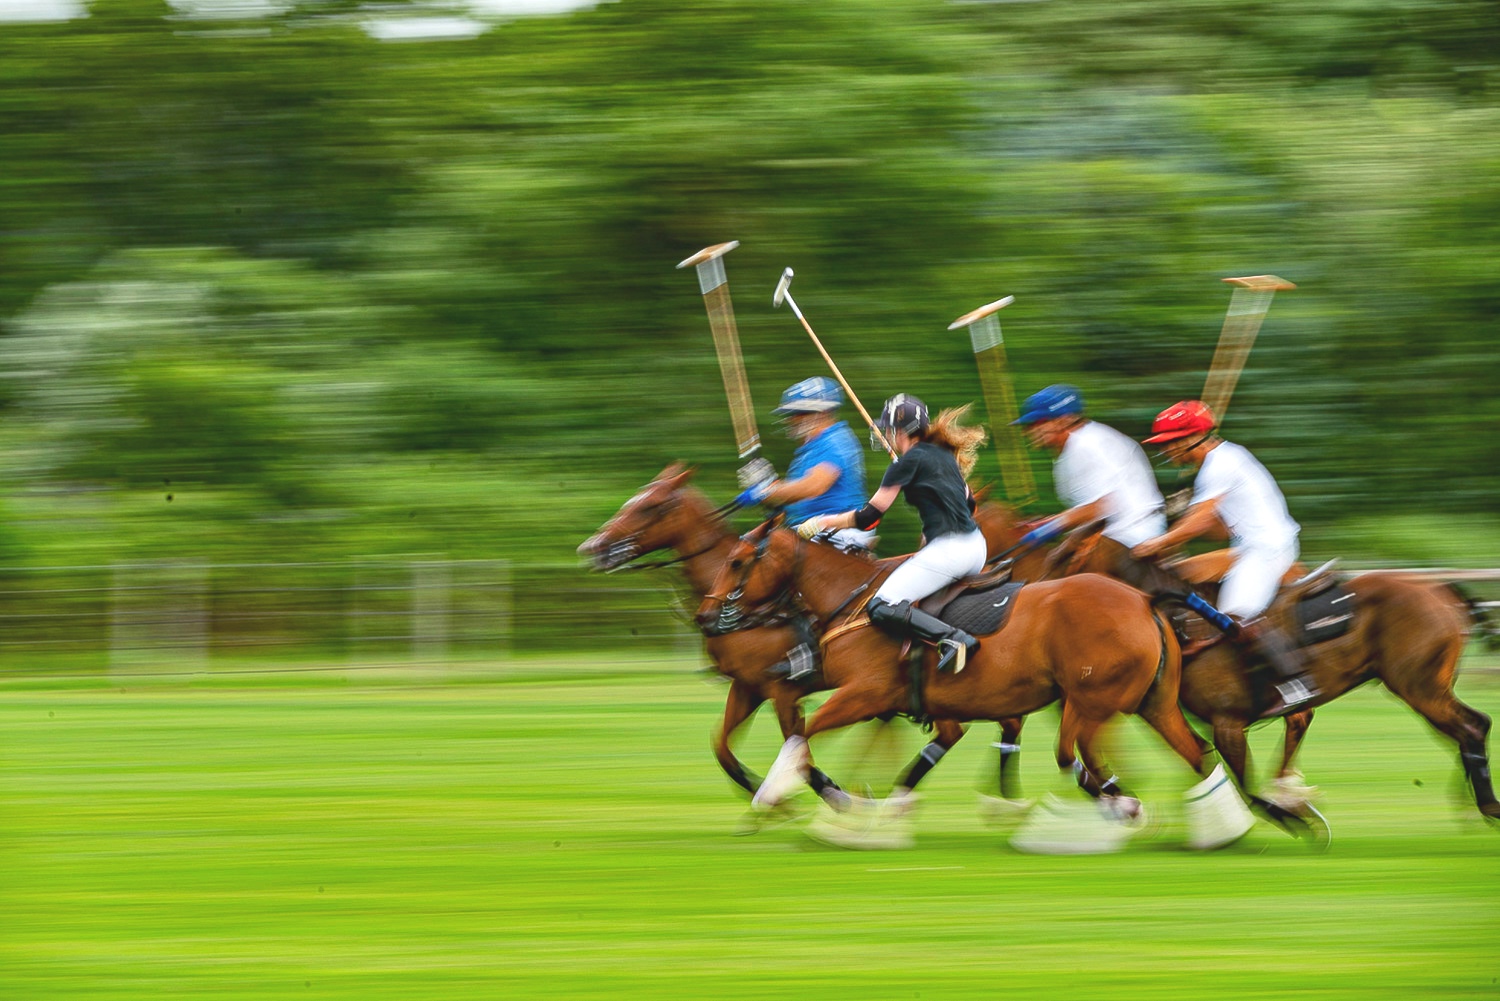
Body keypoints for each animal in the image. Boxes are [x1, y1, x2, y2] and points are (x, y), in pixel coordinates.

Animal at [579, 468, 1026, 804]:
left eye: (649, 506)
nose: (594, 548)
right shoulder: (748, 687)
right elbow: (722, 748)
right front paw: (769, 792)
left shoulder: (784, 690)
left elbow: (797, 747)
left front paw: (827, 795)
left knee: (979, 724)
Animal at [696, 522, 1212, 816]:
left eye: (738, 561)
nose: (706, 616)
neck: (849, 599)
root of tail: (1143, 600)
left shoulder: (864, 693)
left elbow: (801, 736)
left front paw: (779, 795)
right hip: (1151, 702)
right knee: (1195, 752)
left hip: (1091, 699)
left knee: (1074, 754)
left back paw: (1123, 802)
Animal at [1014, 537, 1494, 828]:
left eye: (1062, 558)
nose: (1028, 600)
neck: (1184, 622)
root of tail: (1445, 592)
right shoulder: (1189, 717)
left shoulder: (1227, 723)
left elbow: (1242, 783)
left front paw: (1292, 814)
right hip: (1427, 688)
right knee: (1471, 727)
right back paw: (1473, 807)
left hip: (1420, 687)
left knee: (1471, 726)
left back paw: (1486, 806)